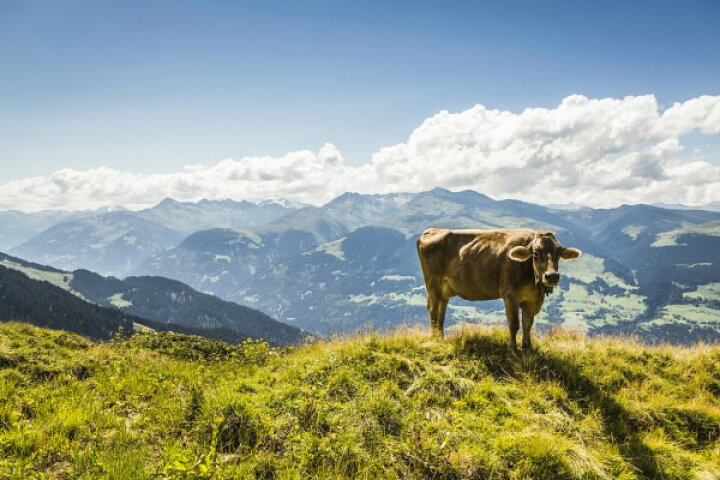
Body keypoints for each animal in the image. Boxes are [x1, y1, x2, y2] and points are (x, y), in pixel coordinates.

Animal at [417, 228, 581, 352]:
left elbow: (528, 324)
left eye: (558, 253)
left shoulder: (531, 299)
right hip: (433, 284)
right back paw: (435, 340)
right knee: (433, 310)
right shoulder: (510, 295)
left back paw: (441, 337)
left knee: (441, 311)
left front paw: (527, 348)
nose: (552, 276)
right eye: (535, 253)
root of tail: (431, 231)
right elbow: (514, 324)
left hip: (444, 290)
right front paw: (513, 350)